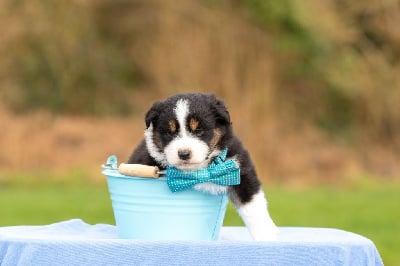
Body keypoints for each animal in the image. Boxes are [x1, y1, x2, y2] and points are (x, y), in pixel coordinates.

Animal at [128, 92, 278, 240]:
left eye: (198, 130)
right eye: (170, 132)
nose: (183, 154)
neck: (199, 170)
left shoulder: (240, 168)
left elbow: (253, 205)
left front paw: (267, 236)